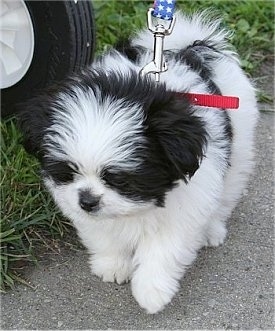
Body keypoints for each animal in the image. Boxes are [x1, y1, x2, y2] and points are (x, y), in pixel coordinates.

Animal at [18, 12, 258, 314]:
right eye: (68, 172)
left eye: (119, 179)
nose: (87, 201)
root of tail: (190, 46)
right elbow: (102, 233)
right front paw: (112, 264)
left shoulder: (187, 201)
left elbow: (165, 247)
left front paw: (151, 291)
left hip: (241, 142)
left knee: (227, 191)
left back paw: (212, 230)